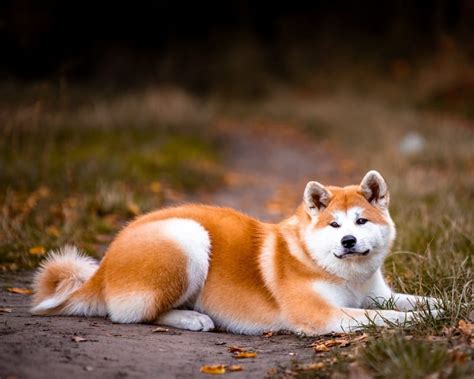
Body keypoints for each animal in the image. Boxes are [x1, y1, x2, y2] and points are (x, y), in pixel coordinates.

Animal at [31, 172, 438, 336]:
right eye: (334, 225)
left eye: (361, 220)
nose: (349, 242)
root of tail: (104, 263)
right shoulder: (321, 313)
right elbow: (380, 317)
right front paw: (414, 321)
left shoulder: (377, 293)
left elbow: (408, 301)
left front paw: (439, 307)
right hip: (189, 238)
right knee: (132, 315)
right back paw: (192, 318)